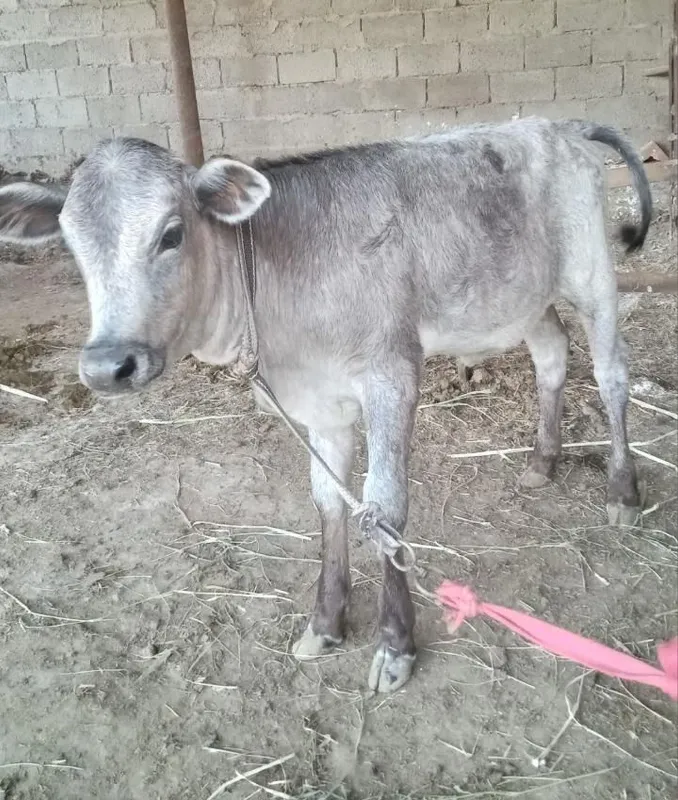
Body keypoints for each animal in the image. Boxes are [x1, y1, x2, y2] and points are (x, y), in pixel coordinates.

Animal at [0, 116, 652, 693]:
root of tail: (558, 124)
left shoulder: (392, 373)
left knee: (611, 374)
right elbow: (328, 501)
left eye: (171, 234)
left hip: (593, 276)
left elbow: (383, 508)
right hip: (523, 298)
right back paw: (543, 460)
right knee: (552, 355)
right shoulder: (315, 399)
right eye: (72, 246)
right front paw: (326, 621)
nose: (107, 366)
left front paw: (395, 645)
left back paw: (623, 490)